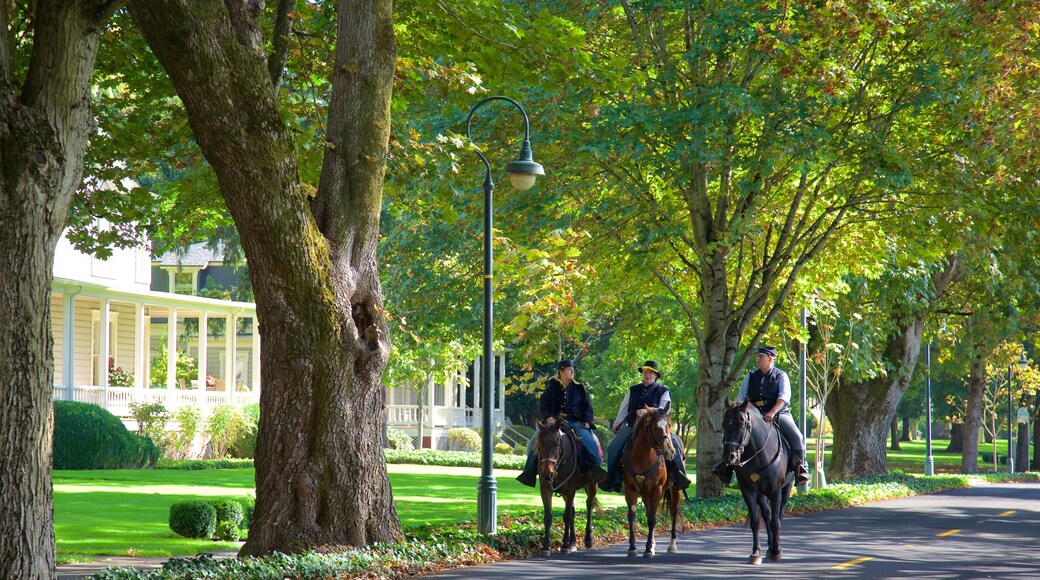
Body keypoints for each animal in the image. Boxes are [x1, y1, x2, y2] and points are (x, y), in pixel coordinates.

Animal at [536, 417, 603, 552]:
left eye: (557, 443)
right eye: (540, 445)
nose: (547, 473)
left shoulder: (570, 489)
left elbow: (566, 516)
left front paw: (565, 544)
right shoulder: (545, 488)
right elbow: (548, 517)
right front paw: (546, 545)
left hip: (592, 485)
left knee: (589, 505)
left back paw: (588, 539)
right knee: (573, 510)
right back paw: (572, 541)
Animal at [615, 405, 682, 561]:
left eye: (669, 424)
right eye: (655, 427)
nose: (670, 451)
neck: (642, 457)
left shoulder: (656, 490)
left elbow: (652, 519)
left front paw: (647, 550)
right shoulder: (631, 489)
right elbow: (632, 516)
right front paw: (633, 548)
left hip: (675, 489)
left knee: (673, 511)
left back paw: (672, 545)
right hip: (645, 494)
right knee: (649, 510)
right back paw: (653, 544)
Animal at [719, 397, 790, 565]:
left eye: (742, 423)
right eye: (724, 424)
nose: (729, 456)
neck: (759, 455)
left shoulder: (776, 491)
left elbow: (776, 521)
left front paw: (776, 550)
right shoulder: (749, 490)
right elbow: (755, 522)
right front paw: (756, 553)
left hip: (786, 488)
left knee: (777, 516)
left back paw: (775, 546)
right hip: (761, 494)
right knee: (767, 514)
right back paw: (769, 546)